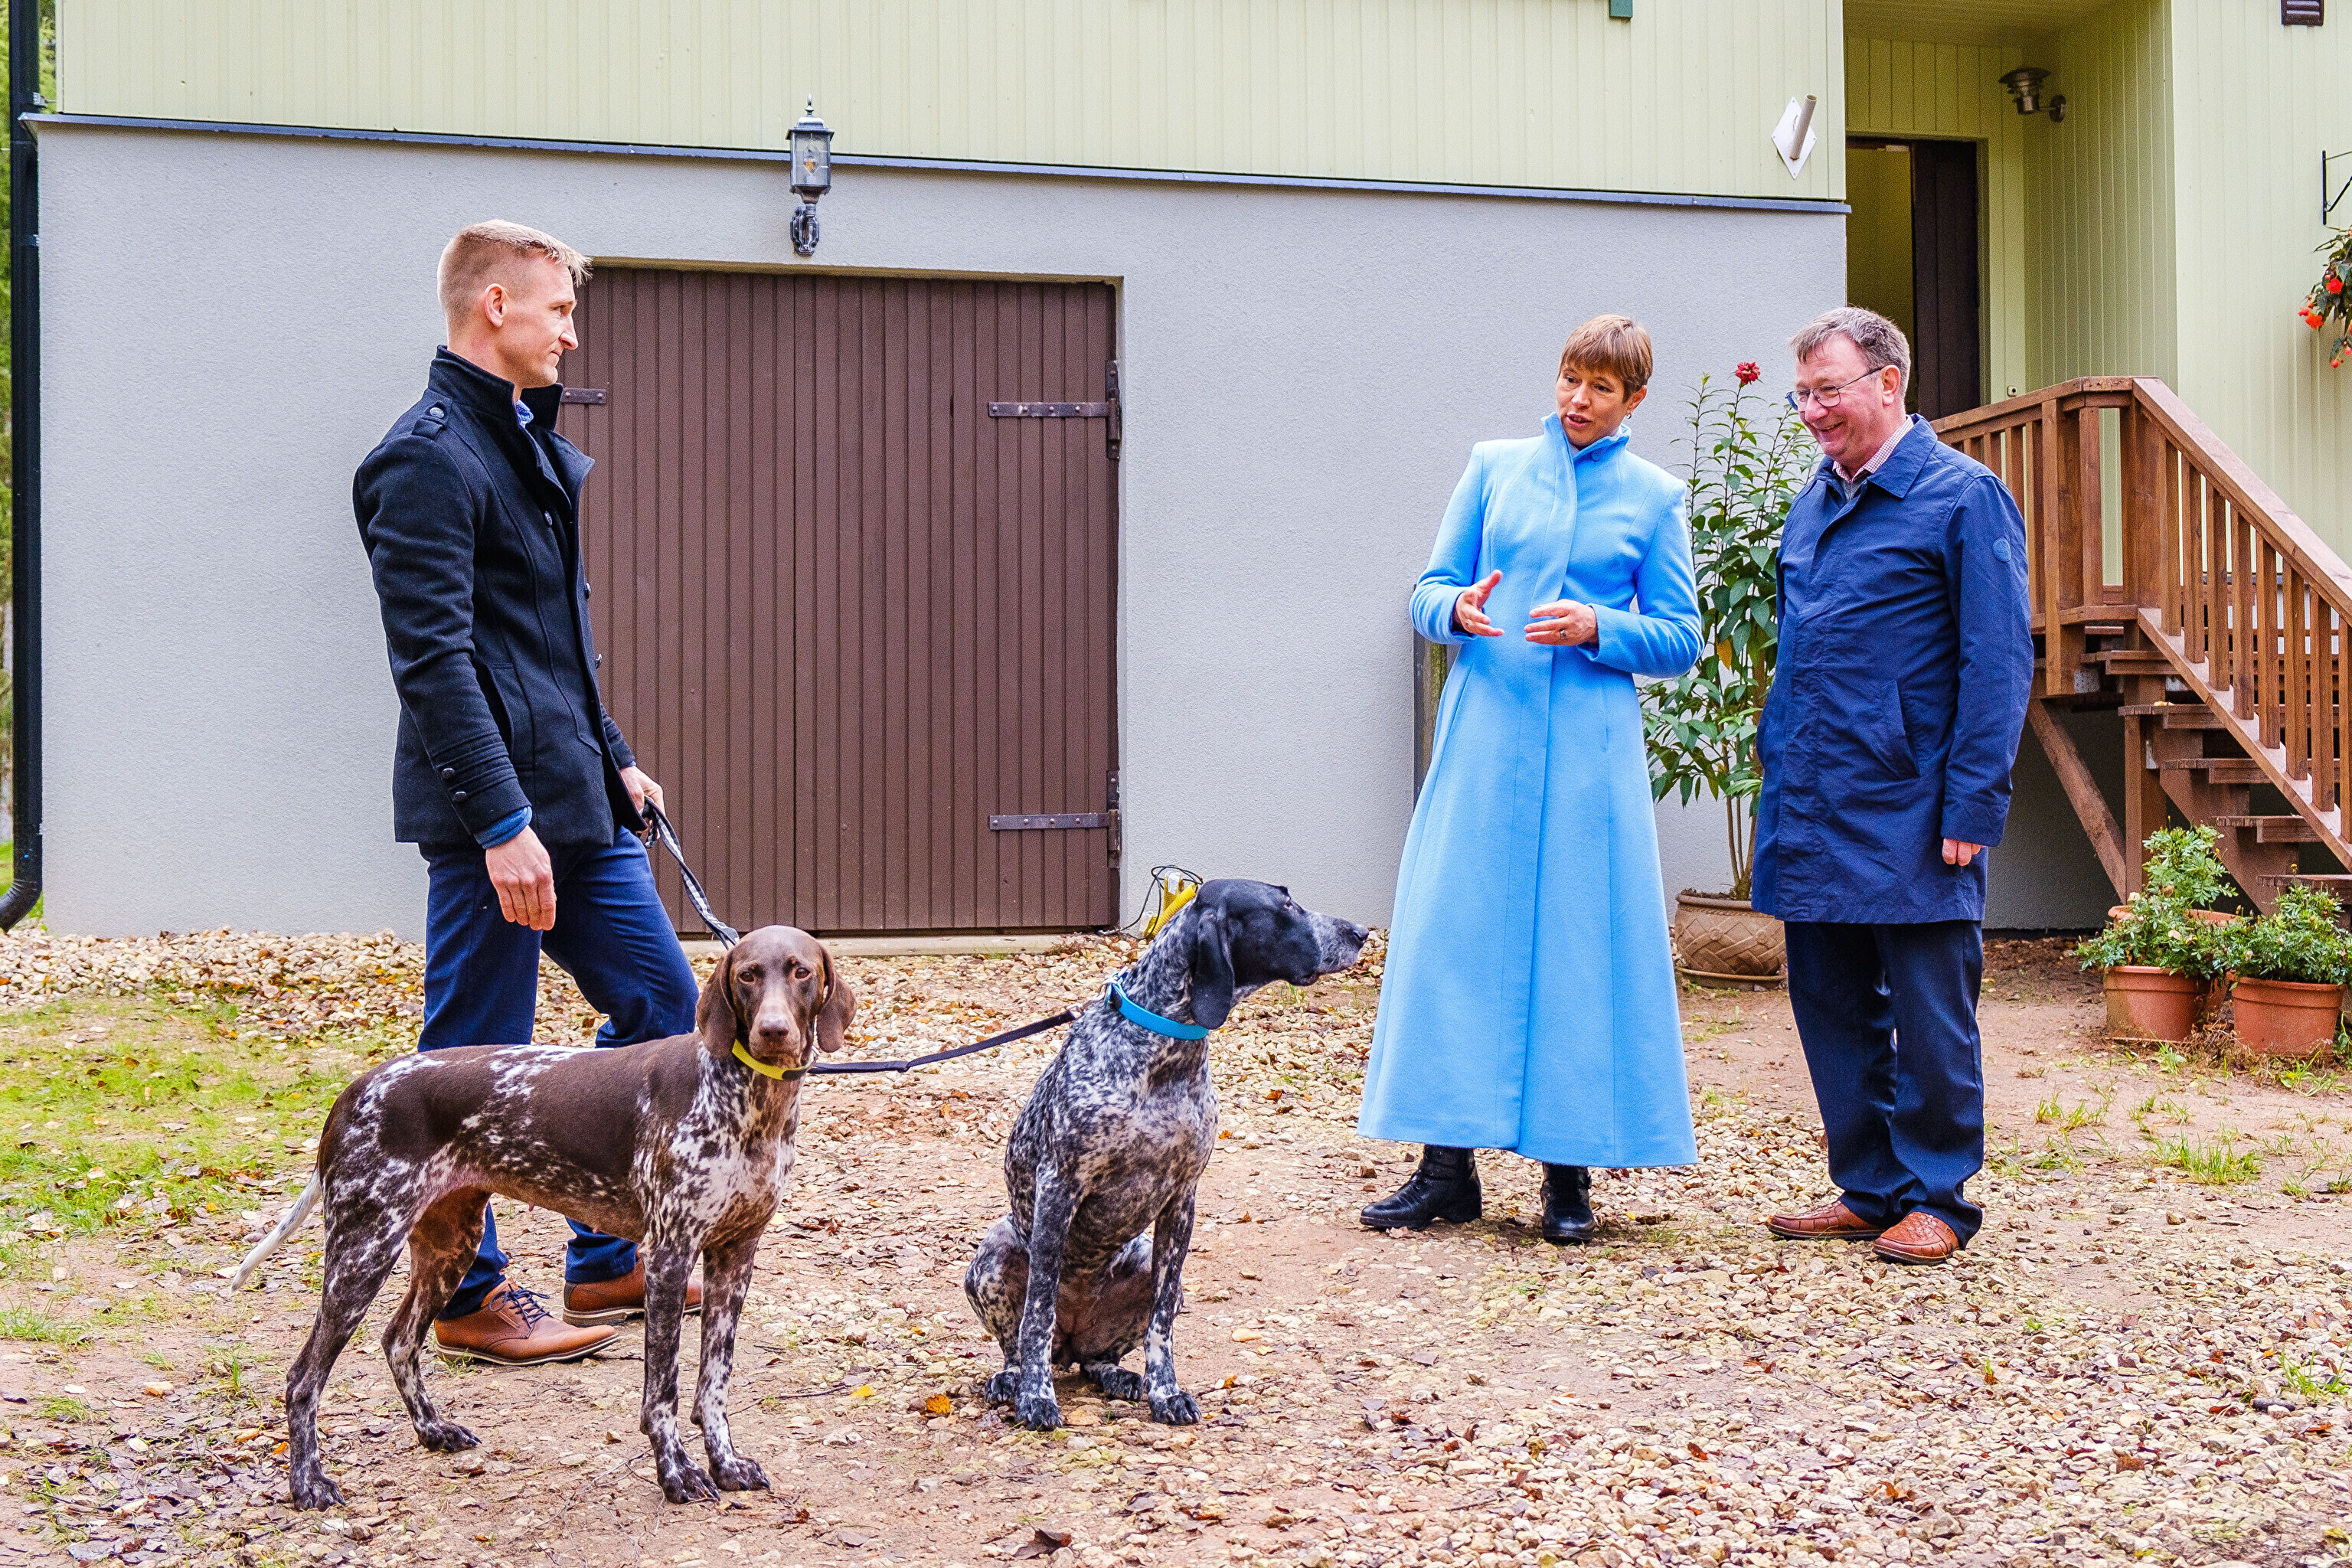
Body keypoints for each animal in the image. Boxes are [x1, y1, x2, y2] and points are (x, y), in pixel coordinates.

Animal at [232, 926, 852, 1509]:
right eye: (748, 975)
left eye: (799, 971)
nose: (773, 1031)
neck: (750, 1102)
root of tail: (354, 1091)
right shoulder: (670, 1260)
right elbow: (664, 1393)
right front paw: (675, 1473)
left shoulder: (735, 1257)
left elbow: (713, 1386)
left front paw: (726, 1463)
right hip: (362, 1253)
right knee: (303, 1379)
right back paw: (308, 1484)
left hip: (449, 1249)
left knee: (399, 1340)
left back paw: (433, 1430)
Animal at [964, 879, 1367, 1430]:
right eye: (1284, 905)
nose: (1362, 932)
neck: (1166, 1049)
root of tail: (1073, 1341)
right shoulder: (1060, 1186)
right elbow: (1038, 1311)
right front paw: (1036, 1396)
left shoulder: (1182, 1199)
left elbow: (1161, 1325)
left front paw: (1166, 1391)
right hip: (996, 1252)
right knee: (1024, 1340)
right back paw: (1014, 1377)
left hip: (1139, 1269)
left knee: (1097, 1357)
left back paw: (1117, 1374)